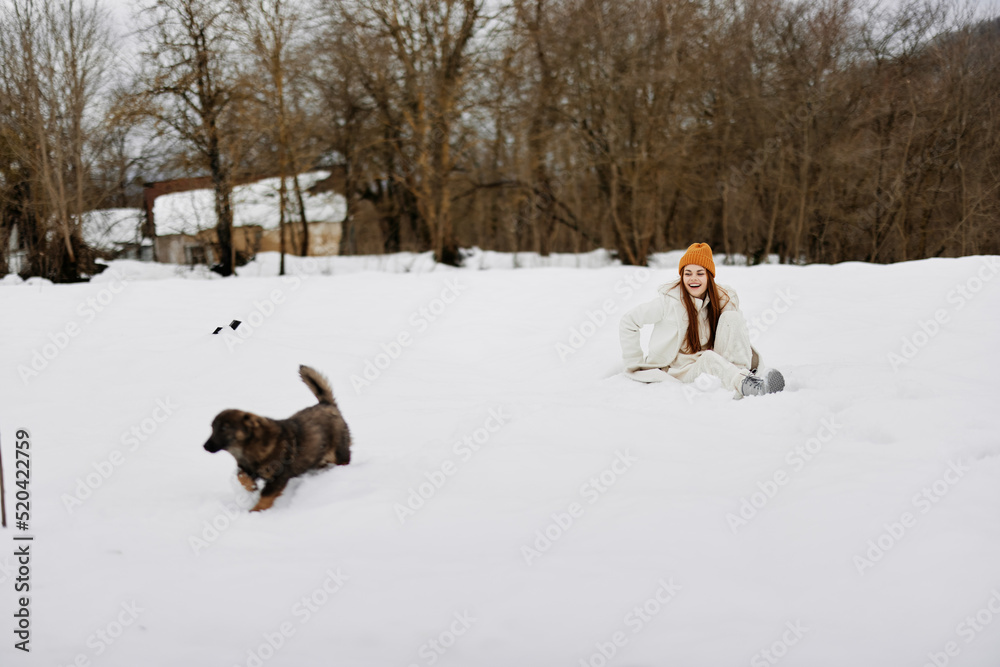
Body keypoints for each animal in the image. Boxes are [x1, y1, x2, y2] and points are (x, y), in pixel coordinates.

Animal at [203, 366, 352, 512]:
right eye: (212, 427)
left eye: (224, 428)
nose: (205, 446)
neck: (248, 446)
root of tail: (327, 404)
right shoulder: (245, 467)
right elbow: (241, 477)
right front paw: (251, 487)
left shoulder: (278, 477)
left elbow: (266, 496)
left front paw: (256, 511)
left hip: (338, 453)